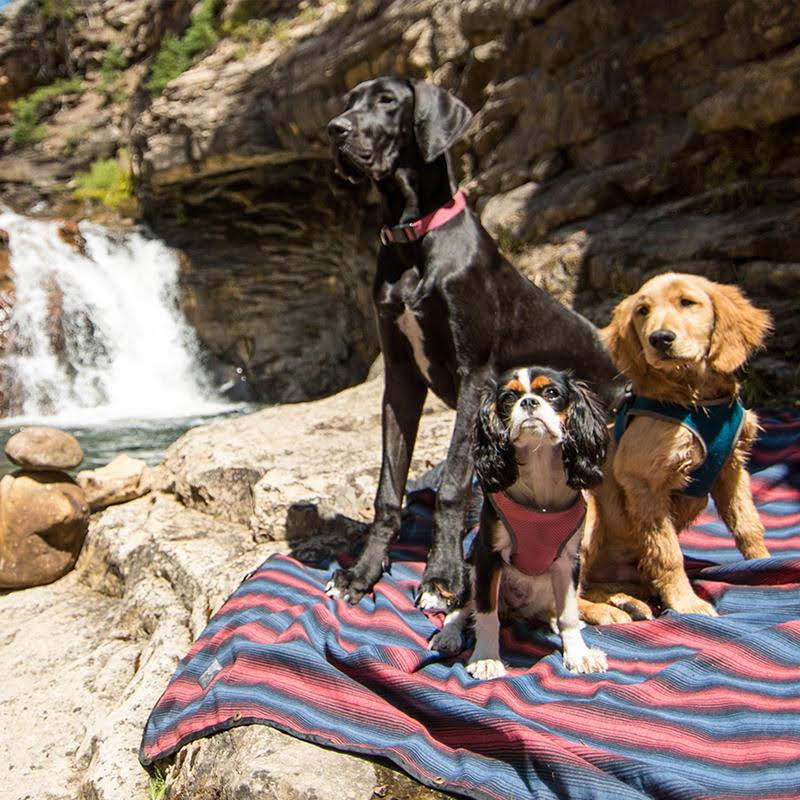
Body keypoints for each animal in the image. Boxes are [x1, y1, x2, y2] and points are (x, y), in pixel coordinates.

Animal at [324, 76, 624, 612]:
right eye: (349, 101)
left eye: (387, 101)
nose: (335, 129)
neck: (412, 237)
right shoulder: (400, 379)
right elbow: (388, 489)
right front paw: (362, 573)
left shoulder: (475, 376)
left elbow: (452, 484)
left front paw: (442, 576)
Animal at [580, 270, 772, 624]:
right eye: (643, 311)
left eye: (687, 302)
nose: (660, 338)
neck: (695, 400)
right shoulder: (644, 483)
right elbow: (667, 551)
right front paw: (687, 603)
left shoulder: (732, 467)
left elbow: (748, 525)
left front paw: (764, 565)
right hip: (589, 508)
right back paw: (603, 611)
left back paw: (627, 601)